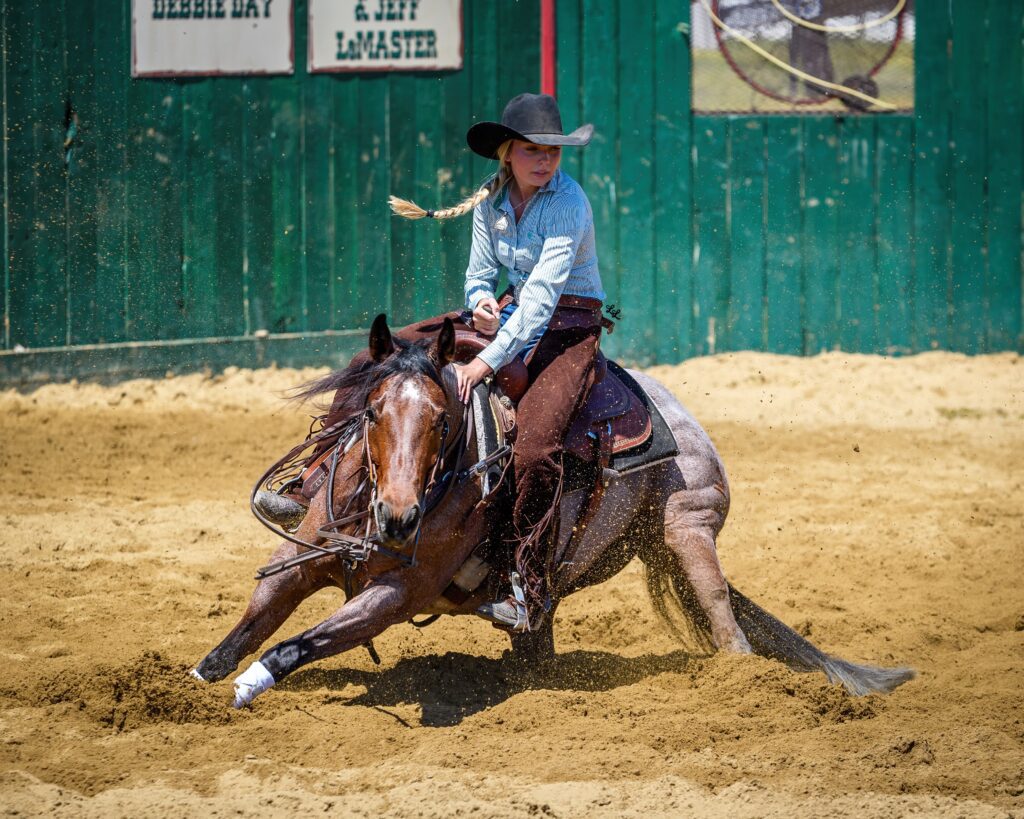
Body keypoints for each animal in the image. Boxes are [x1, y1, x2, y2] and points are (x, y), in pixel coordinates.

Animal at [192, 317, 913, 708]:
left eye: (442, 420)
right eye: (370, 411)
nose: (398, 517)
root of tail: (688, 427)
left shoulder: (396, 594)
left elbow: (293, 643)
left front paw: (246, 689)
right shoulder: (298, 560)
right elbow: (246, 630)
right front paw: (192, 688)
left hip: (688, 525)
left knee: (723, 616)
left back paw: (742, 685)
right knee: (538, 633)